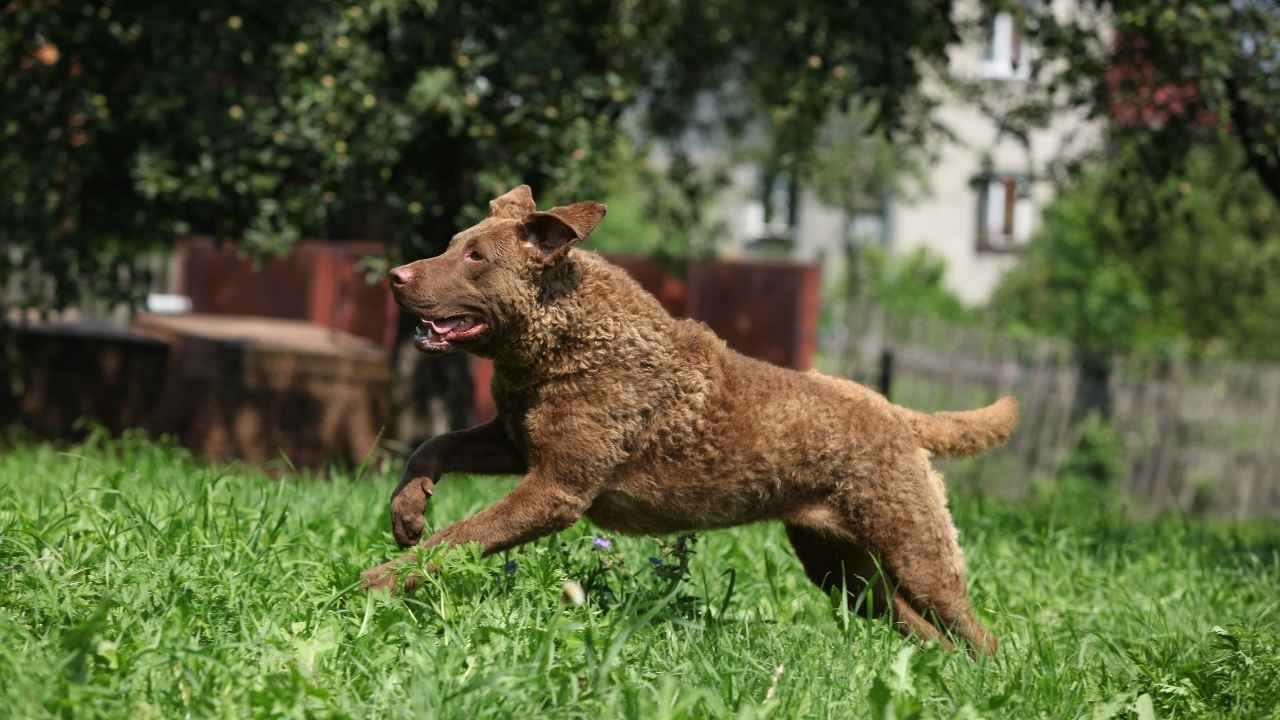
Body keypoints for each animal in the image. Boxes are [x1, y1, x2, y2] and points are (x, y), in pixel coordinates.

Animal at [363, 183, 1018, 650]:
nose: (395, 275)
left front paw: (379, 580)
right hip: (838, 565)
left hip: (914, 550)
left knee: (977, 631)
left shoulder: (556, 487)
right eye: (452, 243)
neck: (563, 337)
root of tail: (899, 414)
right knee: (921, 628)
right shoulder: (514, 440)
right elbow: (433, 446)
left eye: (474, 256)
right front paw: (407, 512)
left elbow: (460, 537)